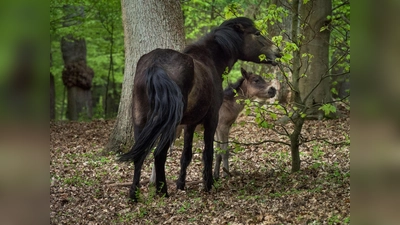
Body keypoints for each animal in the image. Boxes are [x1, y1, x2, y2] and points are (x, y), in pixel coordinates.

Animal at [120, 16, 280, 201]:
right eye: (257, 33)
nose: (278, 51)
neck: (209, 60)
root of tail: (155, 65)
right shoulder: (212, 120)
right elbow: (209, 152)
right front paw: (208, 184)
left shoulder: (191, 123)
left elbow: (186, 155)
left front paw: (181, 184)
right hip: (169, 126)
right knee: (159, 154)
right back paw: (163, 191)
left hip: (140, 120)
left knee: (139, 154)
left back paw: (134, 194)